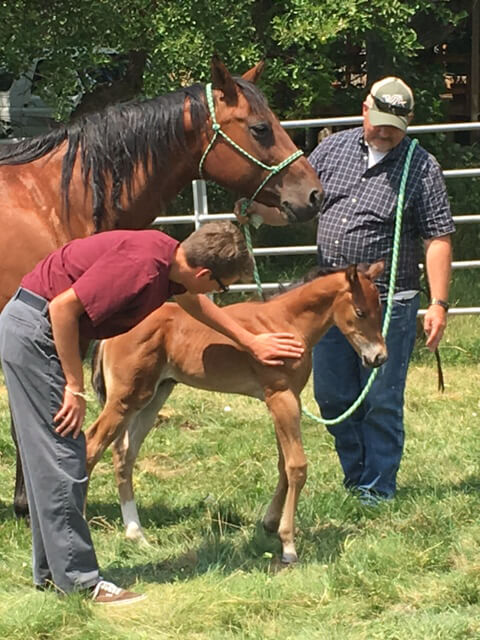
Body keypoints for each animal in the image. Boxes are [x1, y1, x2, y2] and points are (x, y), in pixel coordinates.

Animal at [85, 262, 386, 564]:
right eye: (360, 312)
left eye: (380, 307)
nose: (379, 357)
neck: (285, 324)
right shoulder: (281, 397)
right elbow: (297, 466)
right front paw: (288, 544)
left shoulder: (289, 399)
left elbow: (283, 464)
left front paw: (270, 523)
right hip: (124, 399)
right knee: (92, 445)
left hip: (153, 397)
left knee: (124, 455)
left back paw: (136, 534)